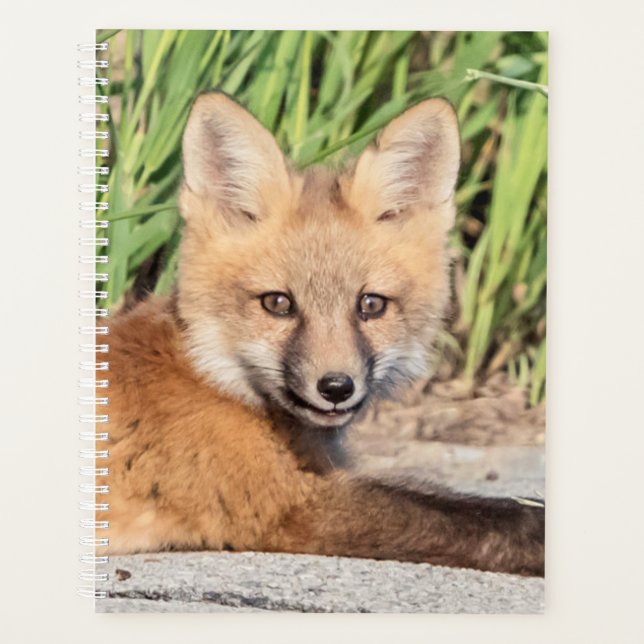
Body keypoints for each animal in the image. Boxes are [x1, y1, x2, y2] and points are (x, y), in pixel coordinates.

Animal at [97, 92, 544, 576]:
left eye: (371, 305)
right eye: (277, 303)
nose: (335, 387)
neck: (213, 377)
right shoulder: (288, 507)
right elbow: (483, 516)